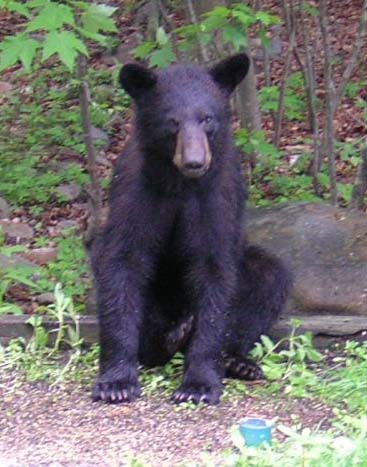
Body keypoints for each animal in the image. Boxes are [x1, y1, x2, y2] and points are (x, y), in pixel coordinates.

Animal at [90, 54, 292, 406]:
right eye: (172, 122)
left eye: (206, 118)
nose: (195, 161)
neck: (179, 182)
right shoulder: (137, 189)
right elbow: (123, 261)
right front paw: (117, 381)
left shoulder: (217, 195)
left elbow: (214, 270)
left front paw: (198, 384)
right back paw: (167, 340)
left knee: (267, 276)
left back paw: (236, 360)